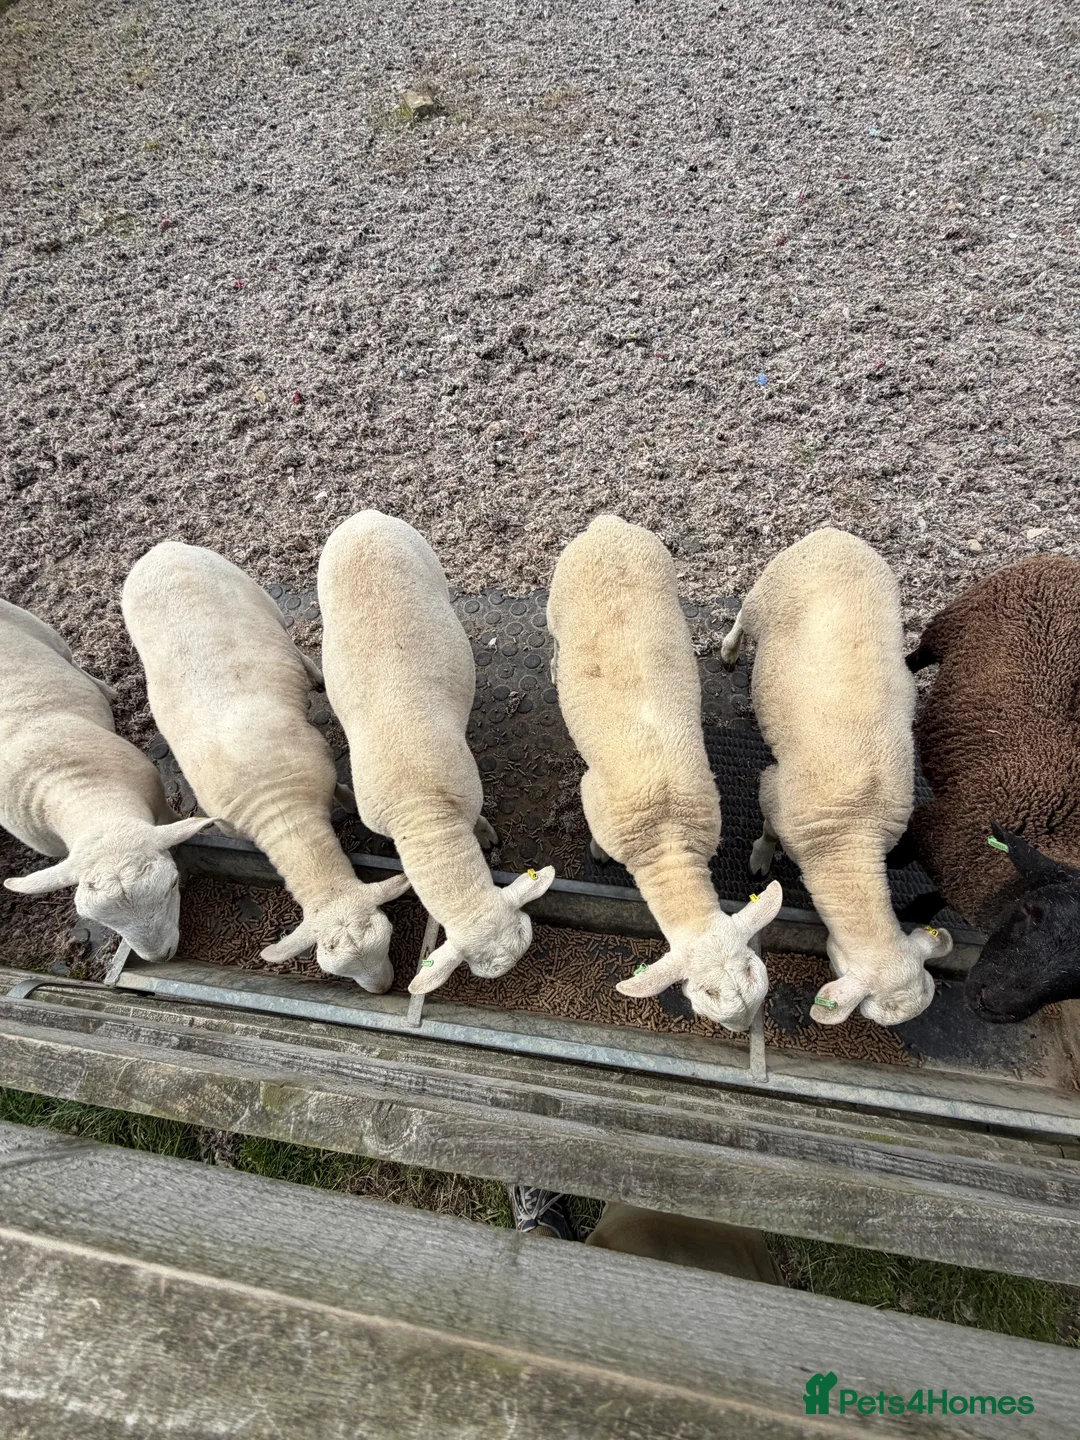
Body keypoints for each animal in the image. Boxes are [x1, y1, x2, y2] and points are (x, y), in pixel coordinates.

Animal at [0, 597, 210, 958]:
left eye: (172, 884)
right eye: (97, 919)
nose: (159, 956)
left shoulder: (158, 798)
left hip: (40, 629)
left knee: (69, 658)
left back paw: (104, 690)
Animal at [122, 542, 411, 992]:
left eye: (389, 935)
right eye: (336, 971)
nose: (381, 990)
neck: (279, 811)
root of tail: (163, 548)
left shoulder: (321, 766)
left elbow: (341, 792)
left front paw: (347, 806)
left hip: (261, 598)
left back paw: (314, 676)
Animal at [546, 515, 782, 1032]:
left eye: (754, 971)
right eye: (704, 994)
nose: (741, 1030)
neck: (667, 834)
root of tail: (607, 524)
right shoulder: (594, 796)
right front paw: (598, 855)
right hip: (557, 600)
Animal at [720, 527, 953, 1027]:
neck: (852, 832)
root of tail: (834, 533)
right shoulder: (775, 793)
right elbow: (769, 832)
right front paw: (761, 859)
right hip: (769, 590)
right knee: (743, 619)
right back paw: (729, 652)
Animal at [904, 554, 1080, 1022]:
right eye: (1033, 912)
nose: (993, 1008)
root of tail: (1063, 560)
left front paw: (918, 909)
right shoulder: (935, 826)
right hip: (953, 620)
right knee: (919, 654)